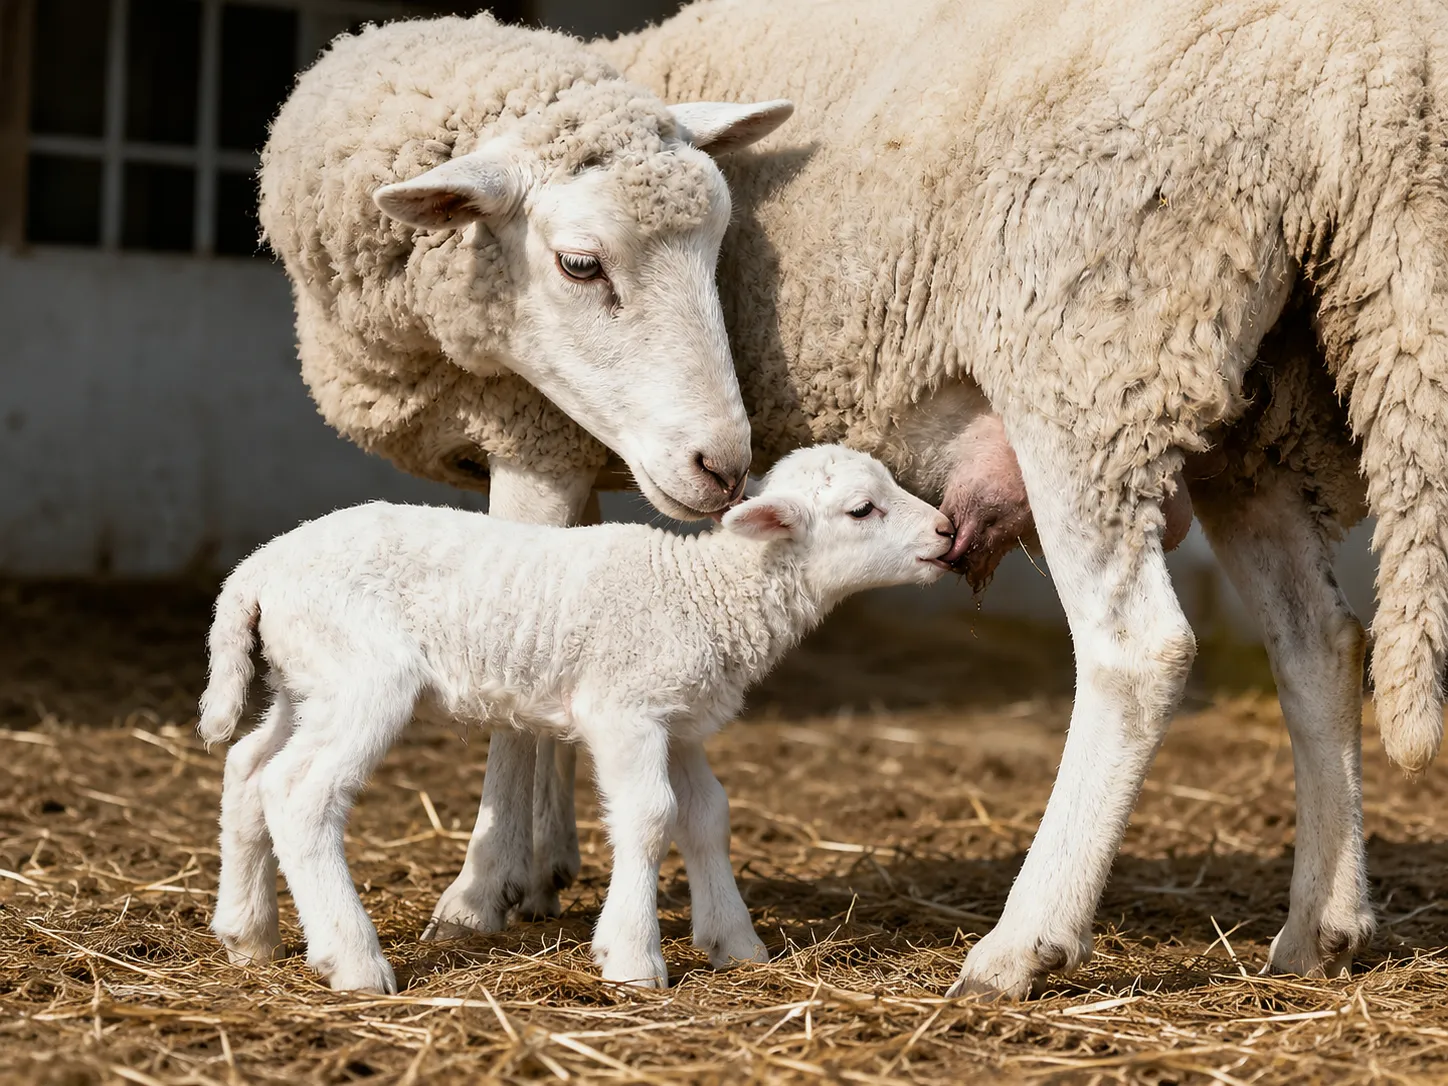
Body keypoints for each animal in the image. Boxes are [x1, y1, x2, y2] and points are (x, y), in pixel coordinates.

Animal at [198, 445, 956, 993]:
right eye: (862, 510)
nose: (948, 530)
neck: (703, 592)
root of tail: (257, 570)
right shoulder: (624, 711)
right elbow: (649, 816)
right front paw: (632, 958)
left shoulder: (678, 720)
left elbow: (706, 816)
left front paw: (736, 944)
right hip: (363, 676)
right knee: (300, 793)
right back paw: (353, 961)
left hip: (305, 678)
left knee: (249, 767)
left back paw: (248, 935)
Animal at [285, 0, 1448, 1000]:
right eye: (581, 265)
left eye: (718, 248)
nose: (723, 464)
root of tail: (1369, 83)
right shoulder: (568, 451)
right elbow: (552, 634)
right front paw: (543, 865)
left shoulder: (532, 438)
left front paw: (481, 890)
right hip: (1257, 417)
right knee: (1316, 643)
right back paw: (1318, 930)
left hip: (1097, 358)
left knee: (1138, 651)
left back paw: (1021, 946)